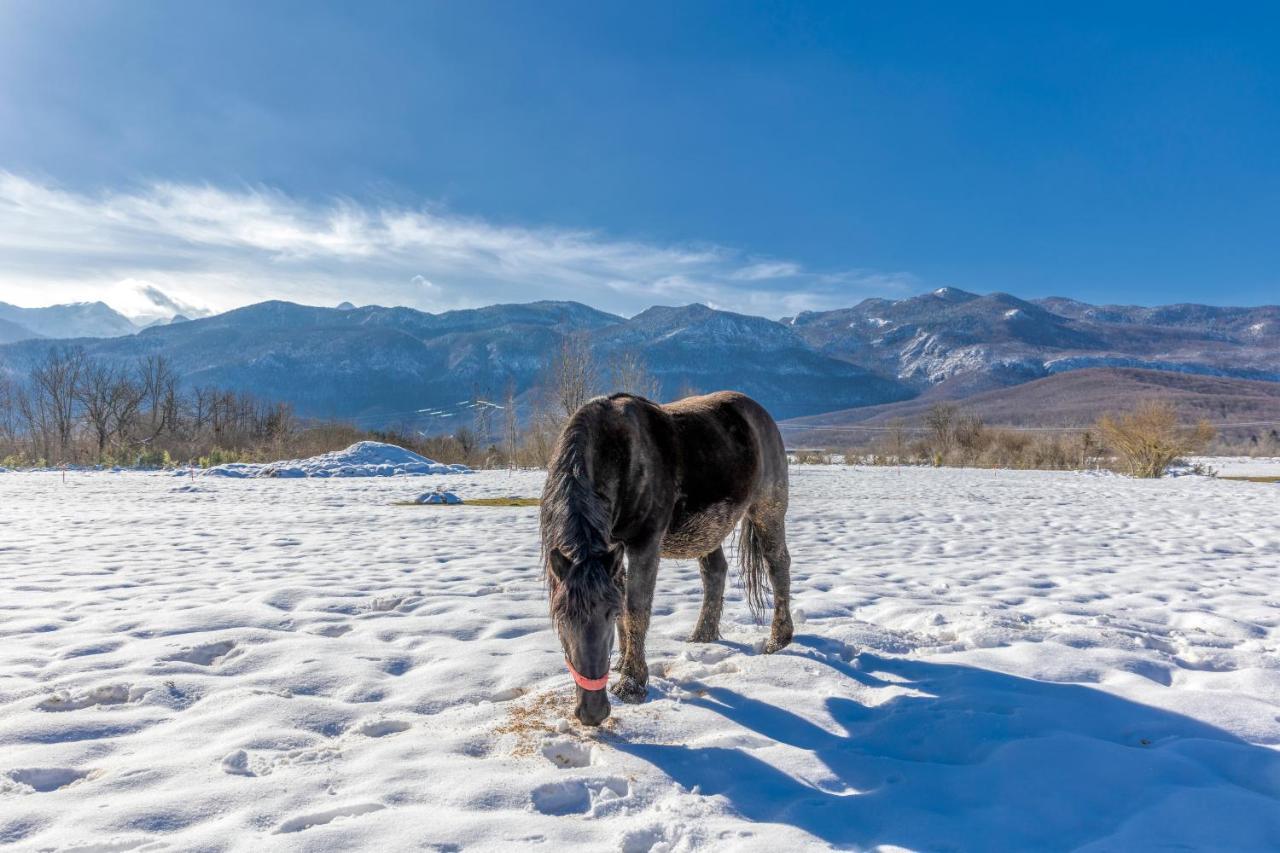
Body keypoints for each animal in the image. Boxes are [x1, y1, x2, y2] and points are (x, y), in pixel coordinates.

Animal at [537, 389, 788, 722]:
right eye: (561, 617)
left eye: (607, 614)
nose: (592, 712)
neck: (614, 449)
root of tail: (759, 413)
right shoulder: (613, 551)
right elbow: (626, 605)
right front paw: (623, 663)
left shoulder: (644, 544)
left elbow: (636, 609)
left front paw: (632, 684)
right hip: (709, 531)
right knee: (715, 573)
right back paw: (703, 636)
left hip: (768, 511)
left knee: (778, 566)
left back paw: (778, 640)